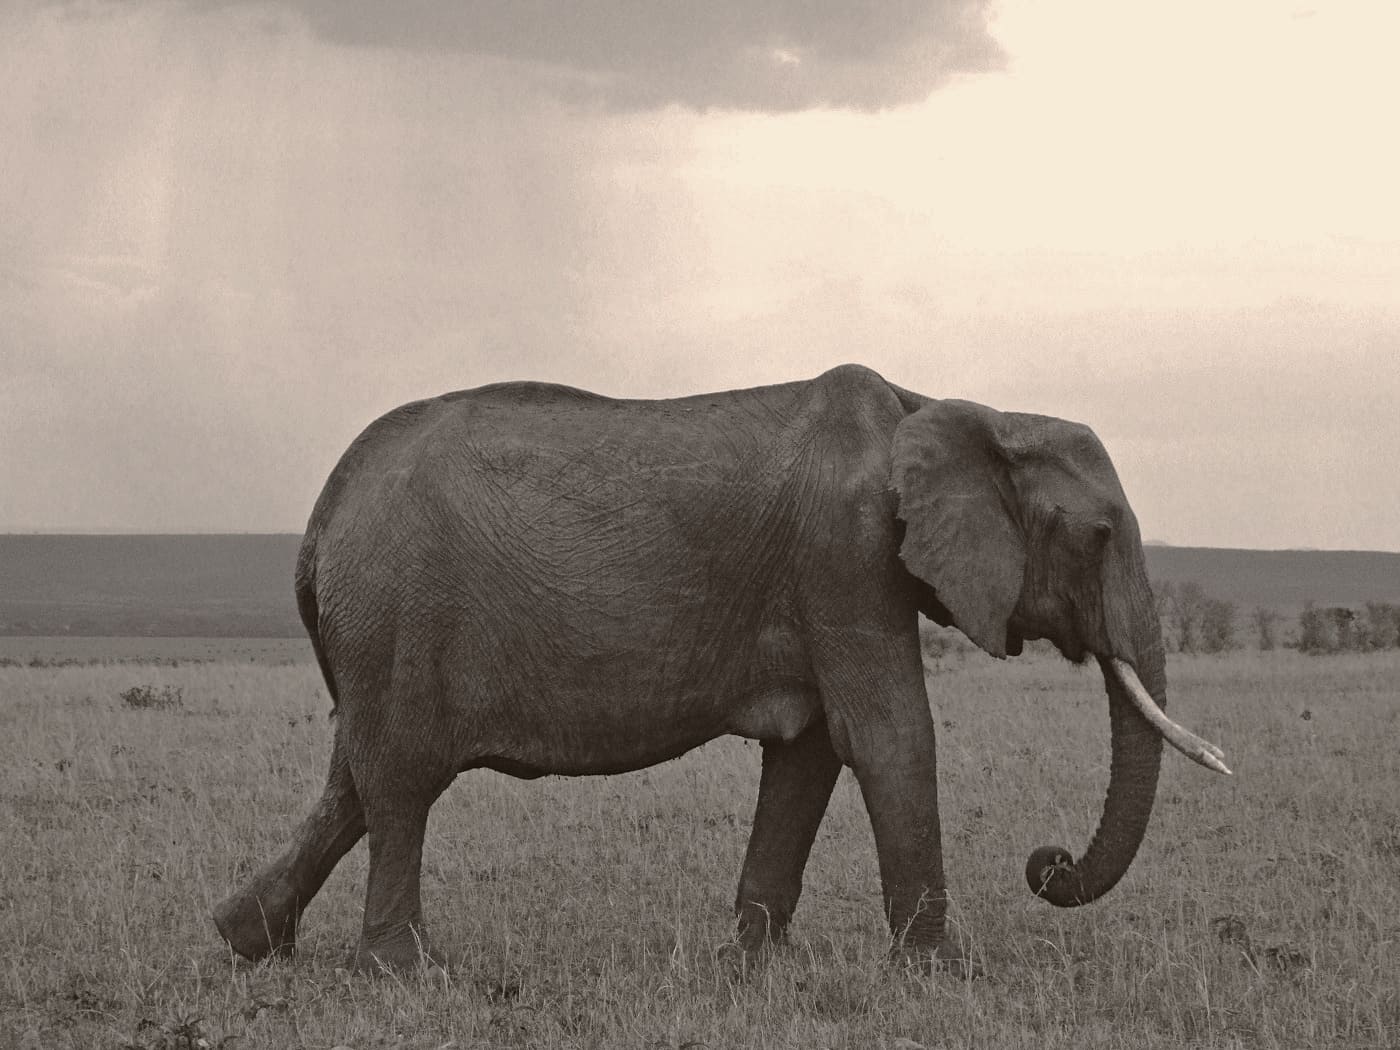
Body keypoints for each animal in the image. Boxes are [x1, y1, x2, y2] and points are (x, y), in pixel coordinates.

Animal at [213, 363, 1229, 975]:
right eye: (1097, 537)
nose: (1047, 864)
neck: (953, 404)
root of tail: (320, 519)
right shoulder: (846, 552)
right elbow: (888, 736)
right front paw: (939, 973)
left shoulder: (836, 575)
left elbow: (812, 751)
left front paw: (751, 965)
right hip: (396, 609)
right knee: (399, 785)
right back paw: (403, 973)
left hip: (376, 628)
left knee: (356, 781)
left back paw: (244, 940)